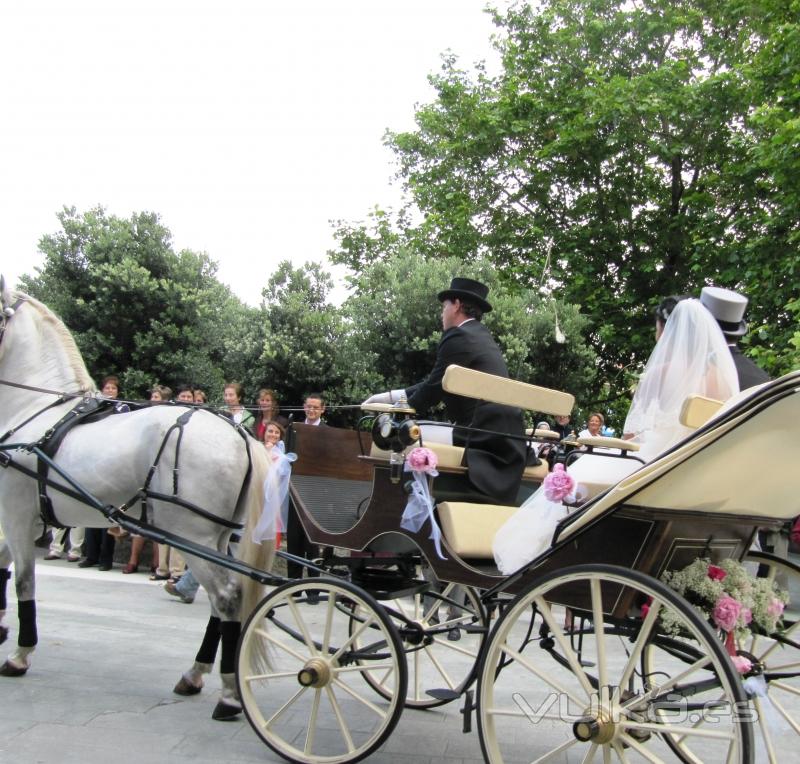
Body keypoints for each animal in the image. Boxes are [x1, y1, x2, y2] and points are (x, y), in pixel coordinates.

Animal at [0, 278, 276, 720]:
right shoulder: (26, 519)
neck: (38, 413)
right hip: (215, 539)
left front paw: (20, 654)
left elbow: (23, 580)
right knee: (220, 604)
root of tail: (238, 434)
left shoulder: (16, 515)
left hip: (191, 536)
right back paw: (195, 674)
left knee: (227, 597)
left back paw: (230, 694)